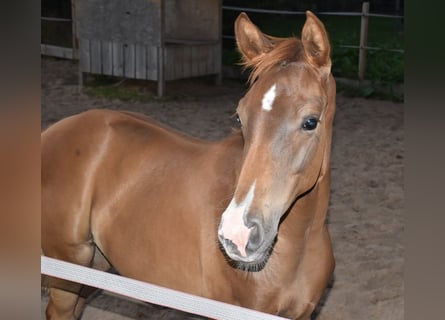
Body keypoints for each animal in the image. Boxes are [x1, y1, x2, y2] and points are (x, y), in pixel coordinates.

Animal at [41, 11, 334, 320]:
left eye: (311, 121)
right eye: (239, 117)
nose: (237, 234)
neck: (298, 242)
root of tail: (49, 133)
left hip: (93, 267)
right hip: (68, 265)